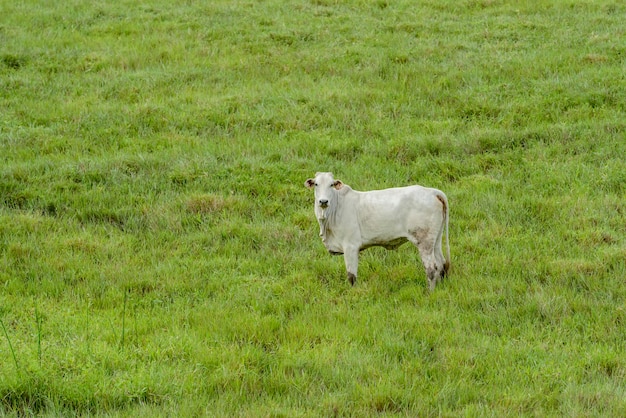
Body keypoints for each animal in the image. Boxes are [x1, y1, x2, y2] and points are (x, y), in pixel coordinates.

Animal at [304, 171, 446, 290]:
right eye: (316, 184)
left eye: (331, 185)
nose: (323, 201)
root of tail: (432, 192)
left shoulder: (351, 246)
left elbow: (351, 276)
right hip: (436, 240)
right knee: (441, 265)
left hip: (424, 242)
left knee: (431, 269)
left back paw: (429, 292)